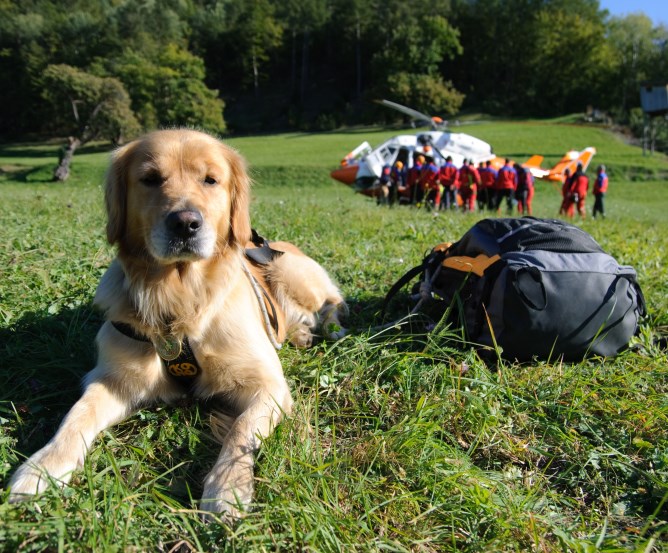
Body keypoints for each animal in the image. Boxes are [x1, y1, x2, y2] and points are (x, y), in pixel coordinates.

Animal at [7, 128, 348, 516]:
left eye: (211, 179)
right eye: (150, 179)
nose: (185, 223)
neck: (181, 299)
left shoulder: (269, 385)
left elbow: (241, 429)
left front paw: (227, 488)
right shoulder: (113, 379)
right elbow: (77, 414)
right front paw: (41, 467)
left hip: (288, 269)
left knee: (332, 301)